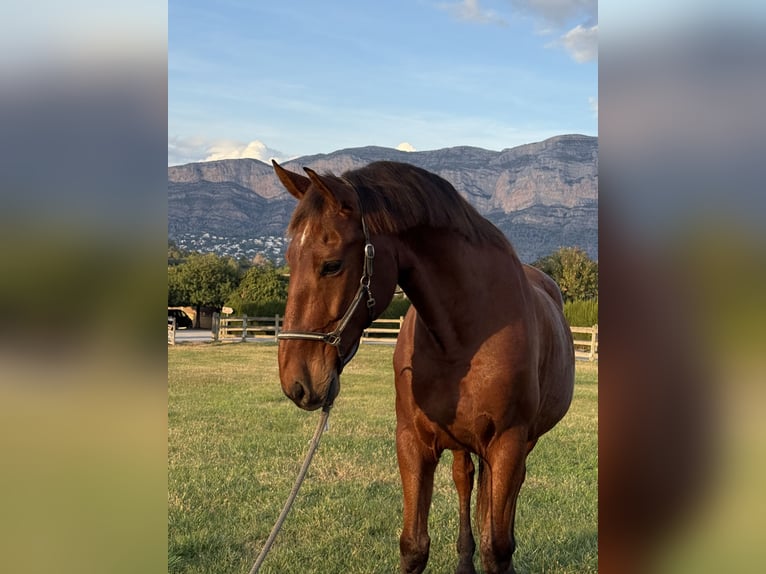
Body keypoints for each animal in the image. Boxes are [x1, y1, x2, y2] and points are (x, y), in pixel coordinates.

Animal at [272, 159, 575, 574]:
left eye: (331, 265)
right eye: (289, 261)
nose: (297, 382)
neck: (463, 334)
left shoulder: (508, 443)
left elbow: (497, 549)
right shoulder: (413, 442)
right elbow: (414, 545)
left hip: (522, 443)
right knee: (465, 480)